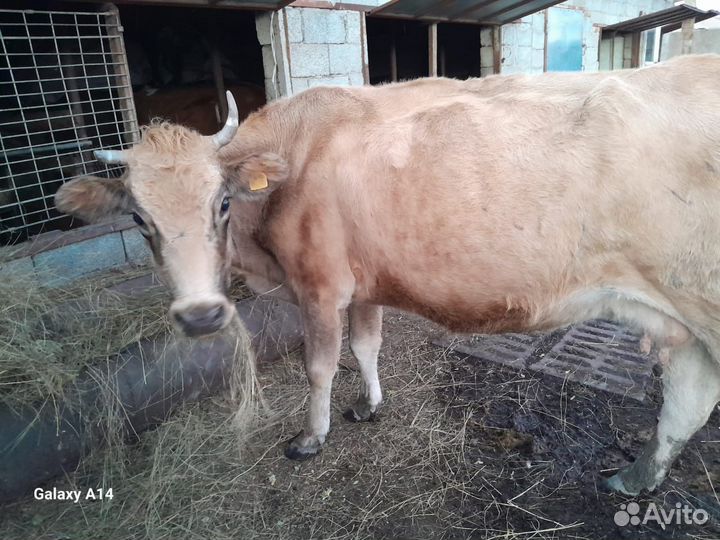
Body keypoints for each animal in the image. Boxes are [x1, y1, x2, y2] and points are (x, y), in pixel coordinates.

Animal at [55, 54, 720, 496]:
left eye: (221, 202)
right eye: (139, 218)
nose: (201, 314)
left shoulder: (320, 286)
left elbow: (320, 365)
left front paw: (311, 438)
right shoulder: (365, 283)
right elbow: (366, 347)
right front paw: (368, 405)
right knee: (686, 404)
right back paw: (633, 479)